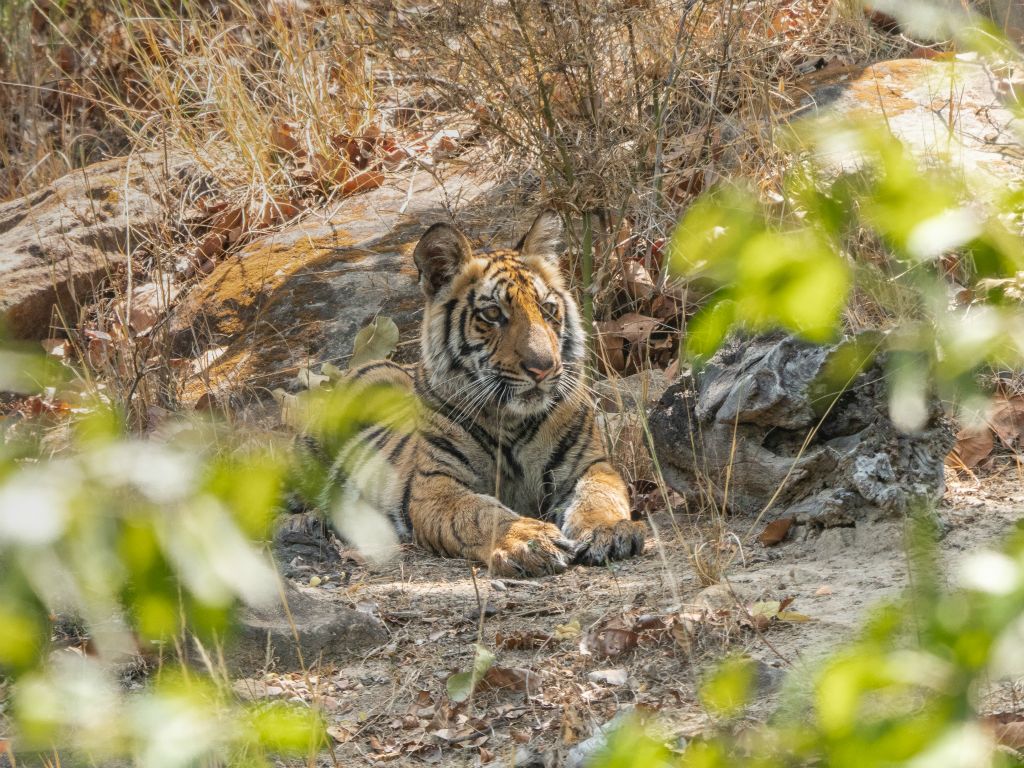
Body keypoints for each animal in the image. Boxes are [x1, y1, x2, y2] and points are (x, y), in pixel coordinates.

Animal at [319, 210, 643, 577]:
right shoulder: (436, 485)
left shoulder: (588, 464)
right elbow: (480, 512)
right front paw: (529, 540)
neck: (511, 419)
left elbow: (599, 495)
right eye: (492, 314)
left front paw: (609, 530)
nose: (543, 368)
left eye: (547, 309)